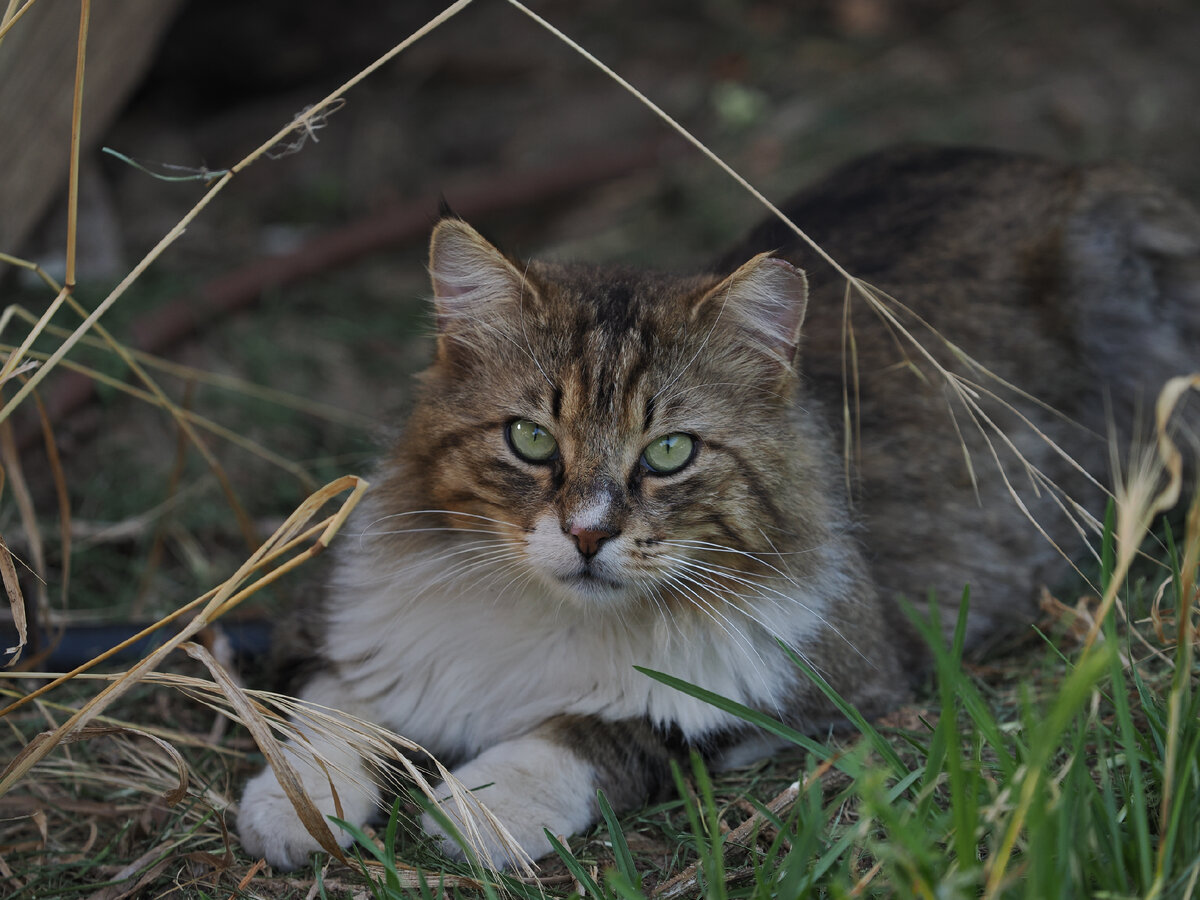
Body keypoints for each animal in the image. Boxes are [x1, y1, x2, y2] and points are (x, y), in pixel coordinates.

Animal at [236, 144, 1200, 868]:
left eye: (669, 453)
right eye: (532, 441)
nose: (588, 533)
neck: (557, 619)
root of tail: (1071, 169)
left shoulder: (821, 689)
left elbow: (600, 728)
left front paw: (483, 806)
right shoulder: (358, 639)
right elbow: (328, 716)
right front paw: (296, 807)